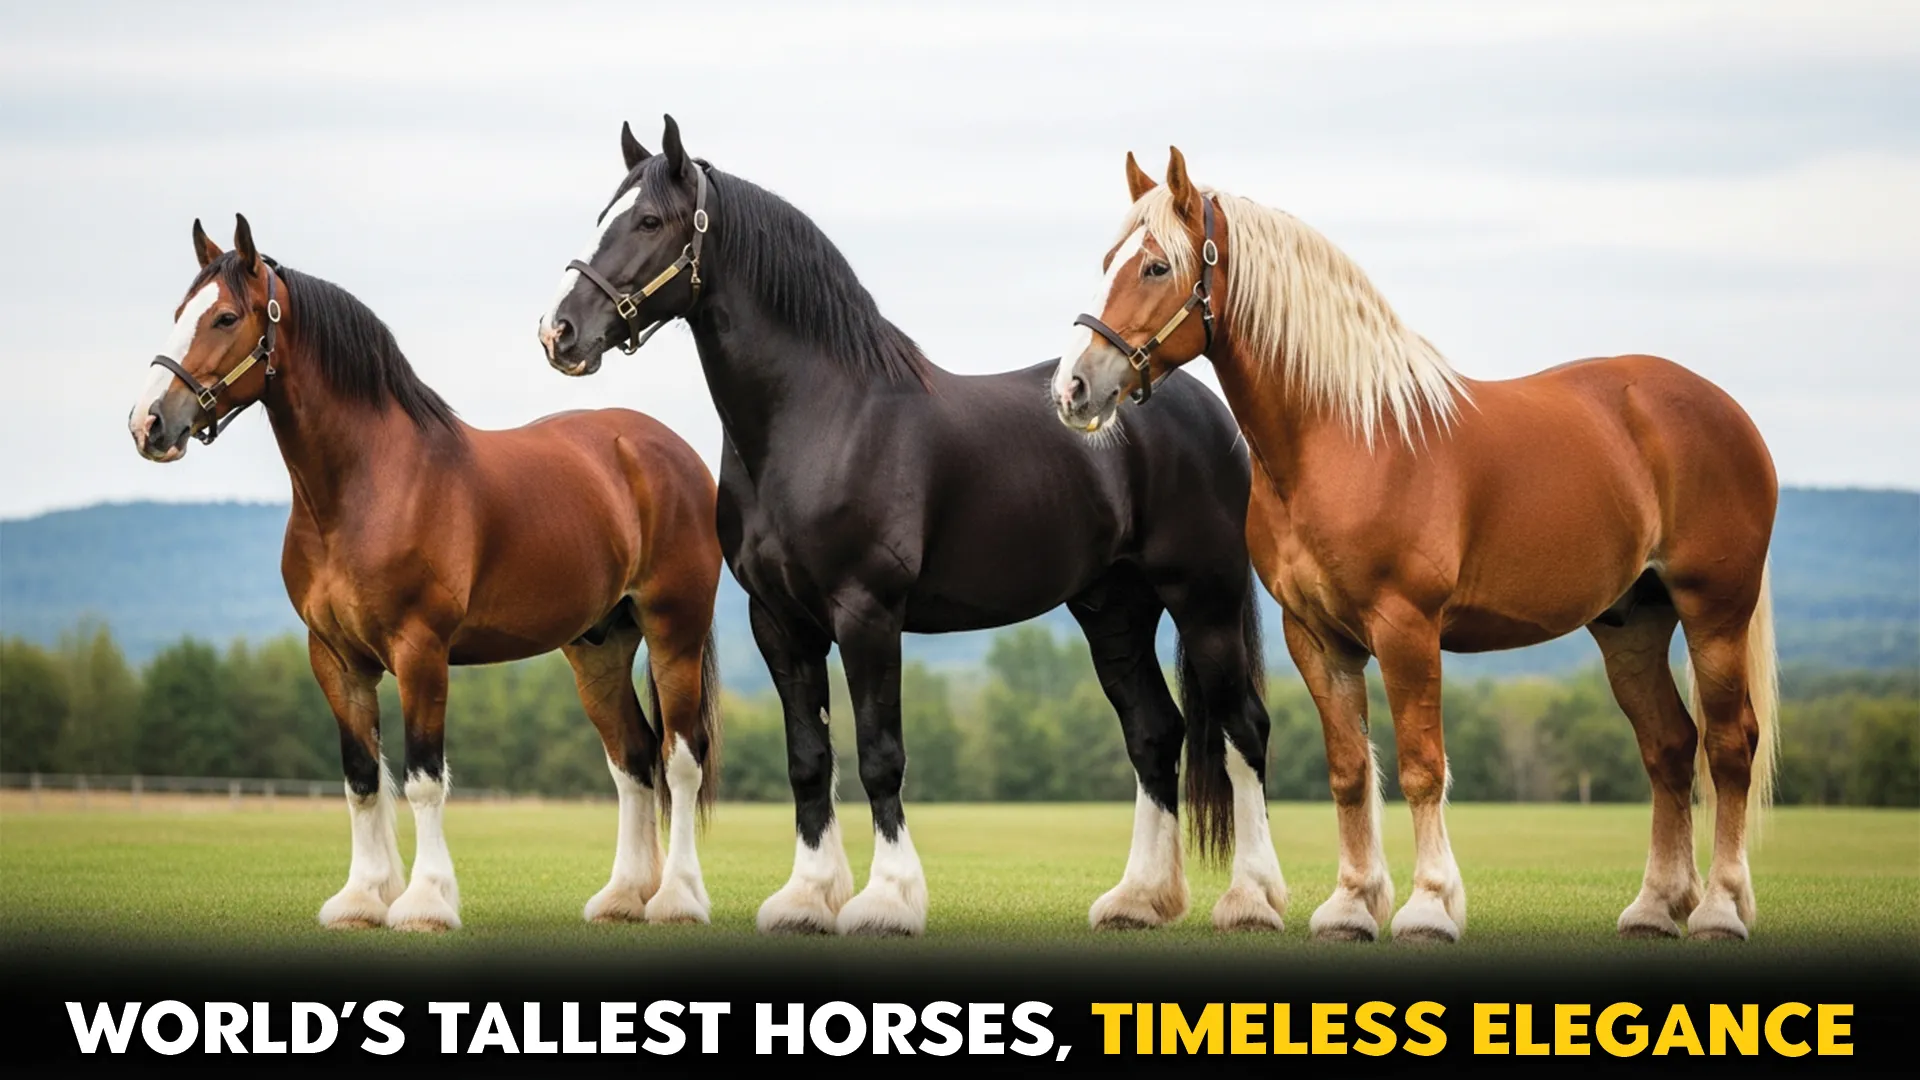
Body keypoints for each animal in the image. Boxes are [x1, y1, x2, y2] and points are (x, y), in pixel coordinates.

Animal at [128, 215, 725, 931]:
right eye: (178, 314)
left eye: (223, 317)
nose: (148, 424)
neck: (370, 483)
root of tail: (669, 450)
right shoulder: (335, 659)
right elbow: (362, 780)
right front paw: (362, 898)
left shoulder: (421, 652)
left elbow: (421, 778)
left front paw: (424, 902)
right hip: (599, 648)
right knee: (633, 759)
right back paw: (623, 896)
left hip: (674, 633)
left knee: (681, 760)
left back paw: (678, 898)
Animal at [537, 115, 1280, 937]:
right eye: (604, 216)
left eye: (648, 221)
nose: (559, 332)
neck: (823, 416)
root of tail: (1200, 407)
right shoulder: (778, 622)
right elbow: (809, 759)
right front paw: (807, 897)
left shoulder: (869, 613)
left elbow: (878, 755)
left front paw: (887, 899)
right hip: (1112, 608)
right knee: (1155, 733)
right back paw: (1138, 899)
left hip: (1204, 598)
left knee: (1244, 730)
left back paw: (1252, 899)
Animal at [1051, 148, 1780, 945]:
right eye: (1108, 261)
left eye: (1156, 267)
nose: (1074, 386)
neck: (1348, 436)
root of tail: (1725, 411)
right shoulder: (1317, 636)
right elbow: (1348, 769)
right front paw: (1350, 905)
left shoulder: (1407, 628)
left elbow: (1421, 765)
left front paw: (1429, 906)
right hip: (1632, 622)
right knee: (1669, 748)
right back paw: (1655, 907)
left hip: (1713, 614)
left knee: (1729, 747)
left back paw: (1720, 908)